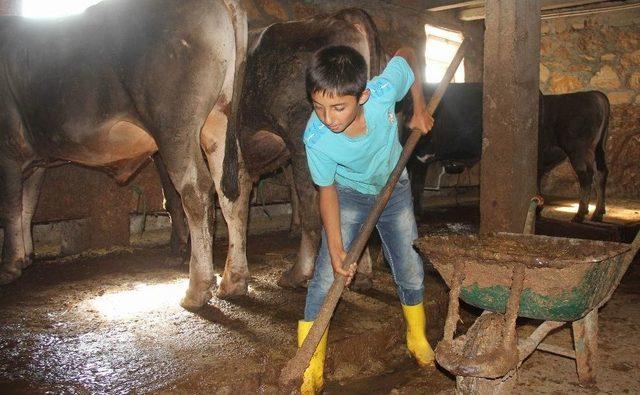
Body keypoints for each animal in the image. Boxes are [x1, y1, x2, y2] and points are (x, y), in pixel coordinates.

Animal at [0, 0, 248, 310]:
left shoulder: (8, 148)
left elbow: (10, 207)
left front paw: (9, 266)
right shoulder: (36, 160)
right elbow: (27, 205)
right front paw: (25, 257)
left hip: (173, 126)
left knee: (196, 191)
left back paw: (197, 289)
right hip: (218, 120)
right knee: (234, 188)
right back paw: (234, 282)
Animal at [404, 84, 608, 224]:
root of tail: (594, 94)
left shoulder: (421, 156)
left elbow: (416, 187)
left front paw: (416, 214)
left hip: (578, 149)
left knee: (586, 176)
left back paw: (580, 214)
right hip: (595, 150)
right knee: (600, 173)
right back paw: (597, 212)